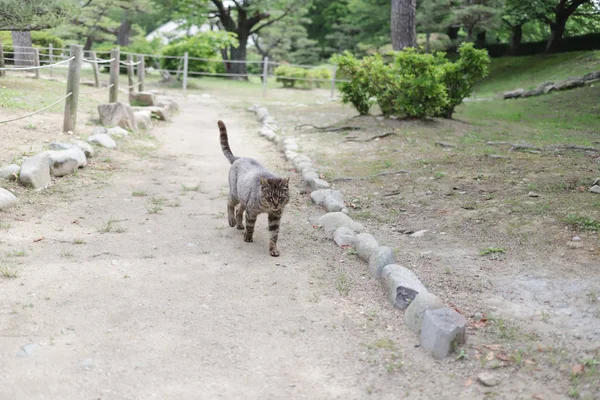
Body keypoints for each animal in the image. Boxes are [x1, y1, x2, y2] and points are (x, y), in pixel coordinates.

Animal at [218, 120, 290, 256]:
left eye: (281, 197)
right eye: (270, 197)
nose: (276, 204)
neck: (267, 208)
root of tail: (239, 158)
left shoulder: (275, 216)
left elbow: (274, 235)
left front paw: (273, 250)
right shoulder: (251, 211)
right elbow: (250, 226)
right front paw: (248, 237)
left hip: (243, 199)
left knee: (238, 210)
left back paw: (239, 224)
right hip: (235, 194)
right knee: (230, 204)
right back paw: (232, 221)